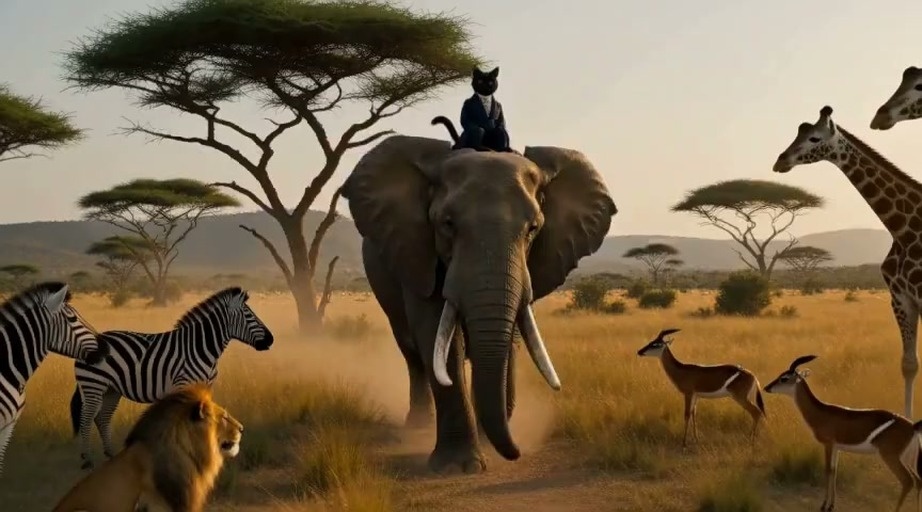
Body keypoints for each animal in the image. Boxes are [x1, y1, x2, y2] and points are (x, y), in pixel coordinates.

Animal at [340, 135, 617, 473]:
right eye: (447, 224)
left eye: (533, 229)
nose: (515, 453)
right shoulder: (417, 250)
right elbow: (436, 336)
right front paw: (459, 467)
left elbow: (511, 337)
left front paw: (487, 447)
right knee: (412, 352)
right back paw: (418, 425)